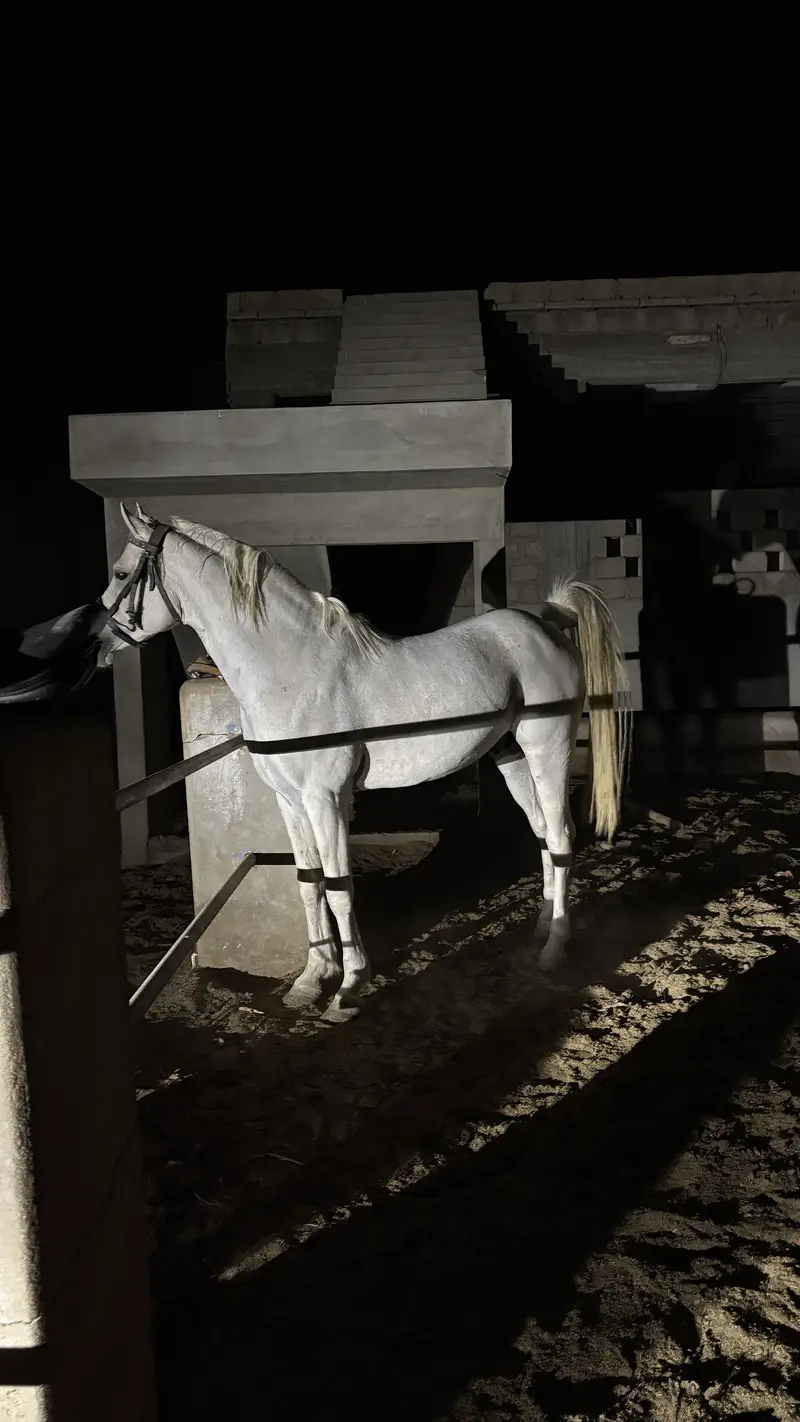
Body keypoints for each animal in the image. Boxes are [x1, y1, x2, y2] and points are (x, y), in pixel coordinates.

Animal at [93, 504, 630, 1023]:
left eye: (120, 573)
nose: (99, 645)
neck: (292, 669)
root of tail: (548, 624)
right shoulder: (290, 801)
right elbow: (309, 884)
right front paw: (311, 980)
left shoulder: (326, 798)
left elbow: (338, 888)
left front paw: (348, 989)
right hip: (513, 757)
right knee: (543, 835)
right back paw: (541, 927)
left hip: (548, 751)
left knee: (561, 836)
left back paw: (554, 948)